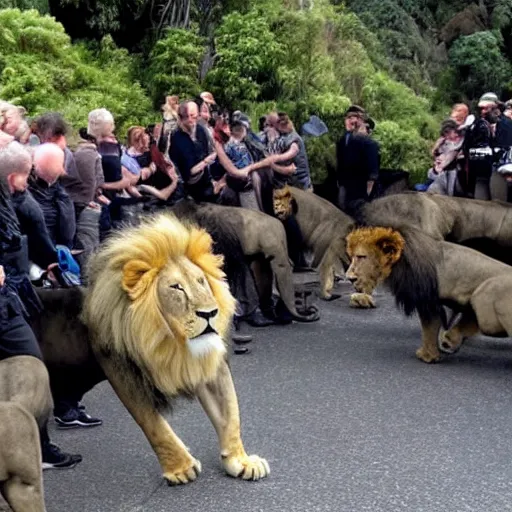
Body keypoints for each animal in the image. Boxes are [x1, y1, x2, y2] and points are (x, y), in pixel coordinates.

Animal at [344, 225, 512, 364]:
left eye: (361, 256)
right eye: (352, 256)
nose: (349, 278)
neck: (399, 261)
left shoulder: (425, 298)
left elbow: (429, 326)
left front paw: (427, 356)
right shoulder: (438, 300)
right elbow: (461, 322)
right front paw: (448, 342)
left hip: (485, 302)